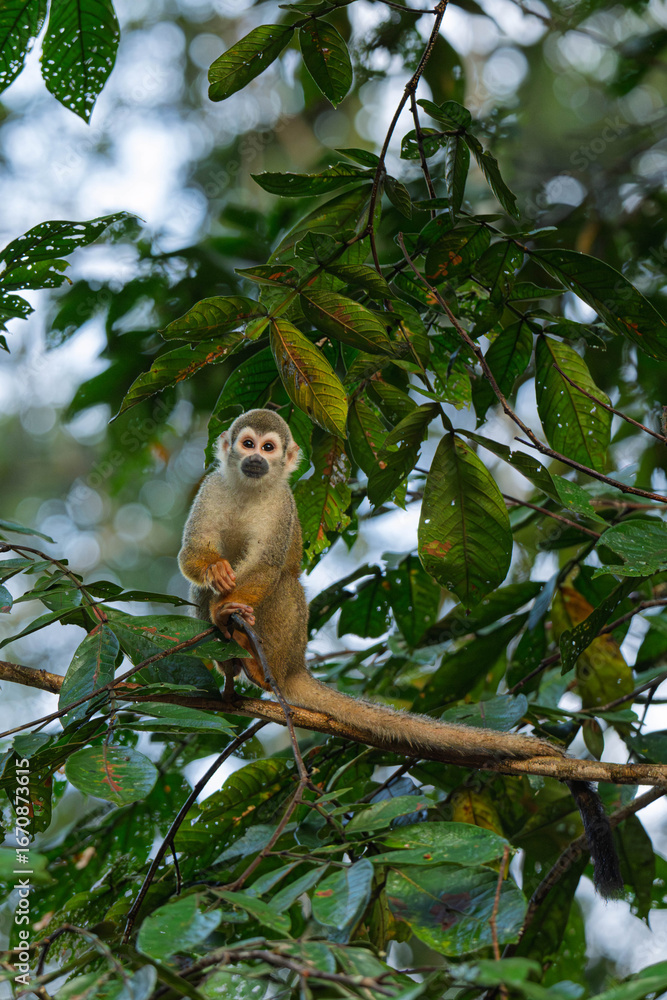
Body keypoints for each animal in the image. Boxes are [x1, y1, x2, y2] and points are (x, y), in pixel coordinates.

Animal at [178, 408, 623, 898]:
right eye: (247, 444)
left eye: (269, 448)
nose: (256, 460)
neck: (251, 490)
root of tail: (293, 666)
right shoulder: (211, 488)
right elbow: (192, 556)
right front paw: (214, 574)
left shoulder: (284, 509)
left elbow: (270, 568)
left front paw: (233, 606)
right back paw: (227, 661)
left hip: (284, 638)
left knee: (286, 583)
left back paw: (247, 649)